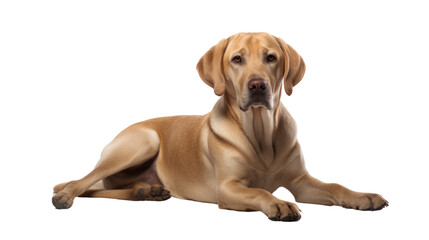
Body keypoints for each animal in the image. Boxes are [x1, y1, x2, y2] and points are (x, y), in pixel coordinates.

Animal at [53, 32, 388, 221]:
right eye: (237, 59)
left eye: (271, 57)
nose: (258, 86)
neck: (261, 134)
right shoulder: (228, 189)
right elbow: (259, 192)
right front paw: (278, 204)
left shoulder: (301, 182)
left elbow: (335, 186)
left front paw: (363, 196)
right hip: (141, 143)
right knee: (80, 184)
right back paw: (65, 196)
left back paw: (147, 192)